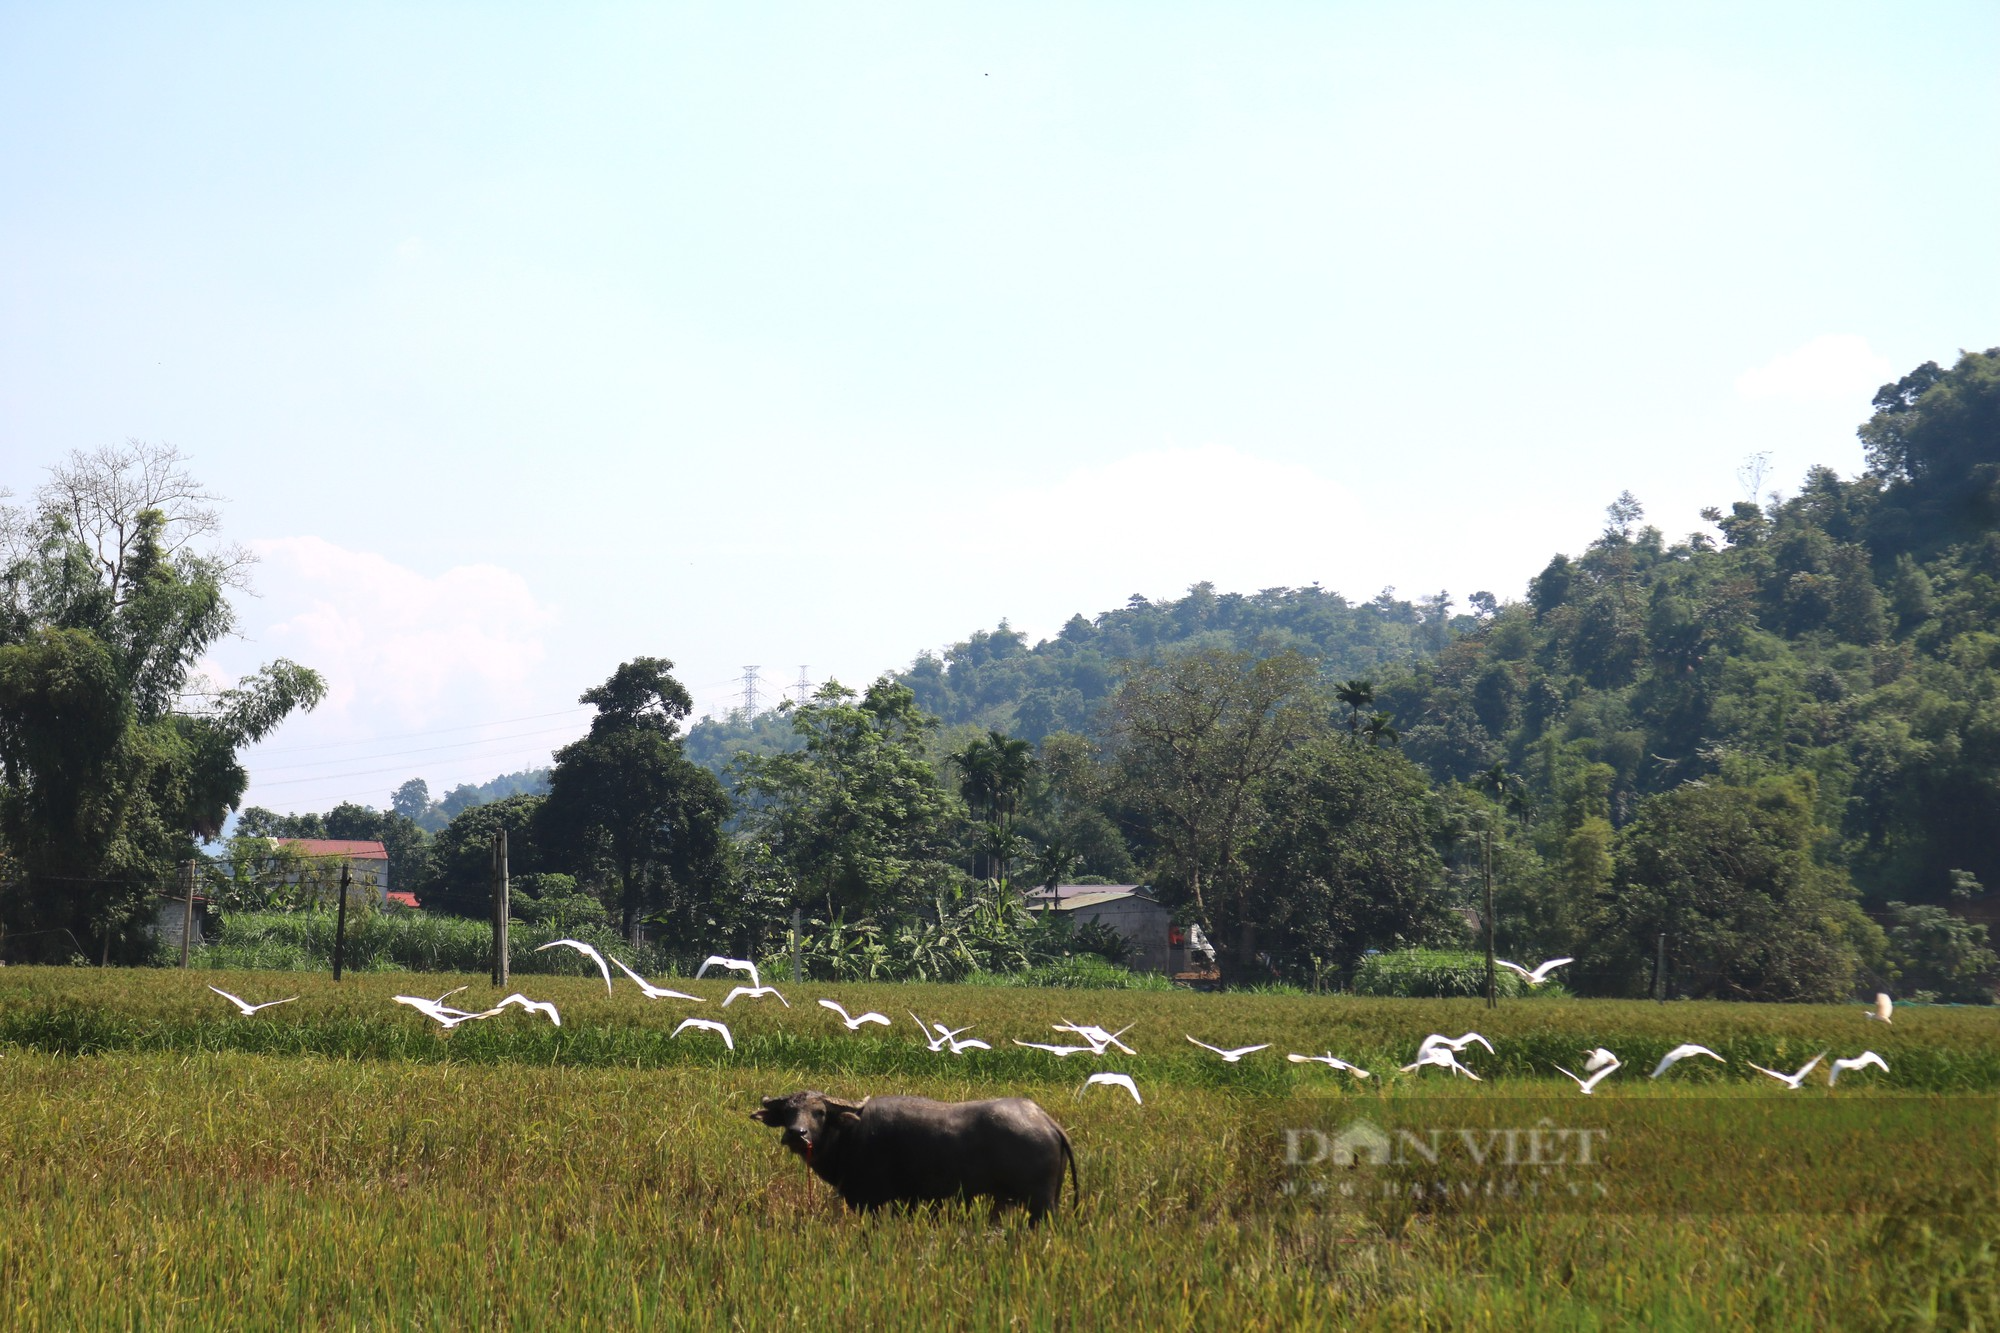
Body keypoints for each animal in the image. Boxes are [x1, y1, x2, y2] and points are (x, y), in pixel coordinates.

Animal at [752, 1088, 1080, 1216]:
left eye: (819, 1113)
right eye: (788, 1112)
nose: (797, 1134)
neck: (850, 1136)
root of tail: (1046, 1121)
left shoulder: (871, 1200)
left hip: (1040, 1202)